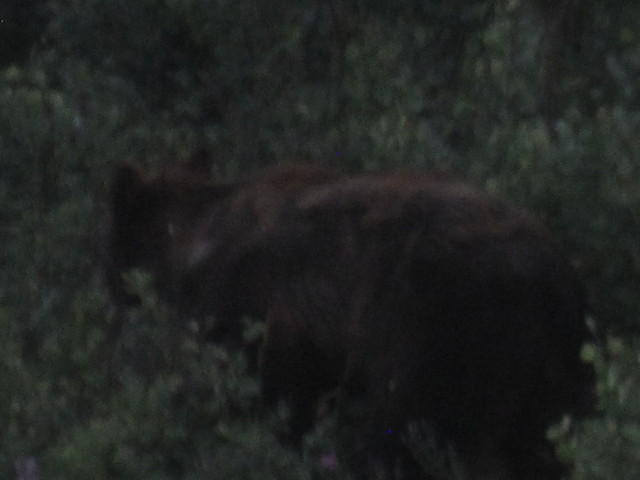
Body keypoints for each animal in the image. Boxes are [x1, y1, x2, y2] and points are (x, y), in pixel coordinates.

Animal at [107, 164, 592, 480]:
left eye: (112, 241)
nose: (112, 290)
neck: (194, 246)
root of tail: (549, 271)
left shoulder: (258, 315)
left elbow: (269, 400)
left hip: (434, 330)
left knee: (404, 432)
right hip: (553, 363)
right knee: (543, 443)